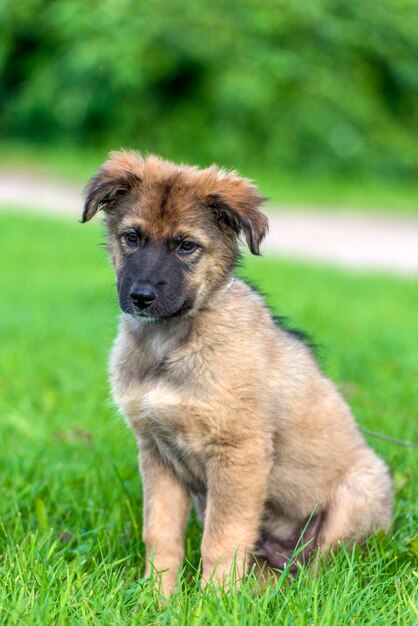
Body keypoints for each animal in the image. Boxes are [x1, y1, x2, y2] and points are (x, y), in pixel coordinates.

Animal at [83, 151, 394, 596]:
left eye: (186, 246)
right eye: (132, 237)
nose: (141, 297)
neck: (172, 344)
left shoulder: (239, 454)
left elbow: (222, 540)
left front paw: (213, 601)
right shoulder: (156, 452)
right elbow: (160, 534)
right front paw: (157, 598)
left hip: (358, 494)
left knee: (322, 570)